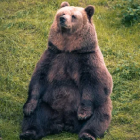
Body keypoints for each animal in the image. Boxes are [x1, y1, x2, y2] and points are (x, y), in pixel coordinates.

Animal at [19, 1, 112, 139]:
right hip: (47, 105)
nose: (62, 19)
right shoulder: (52, 55)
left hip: (97, 106)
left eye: (73, 16)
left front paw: (83, 113)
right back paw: (28, 132)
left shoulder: (87, 58)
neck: (69, 48)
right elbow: (38, 78)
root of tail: (64, 122)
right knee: (36, 116)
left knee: (100, 114)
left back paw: (87, 134)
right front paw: (28, 107)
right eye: (62, 13)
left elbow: (96, 82)